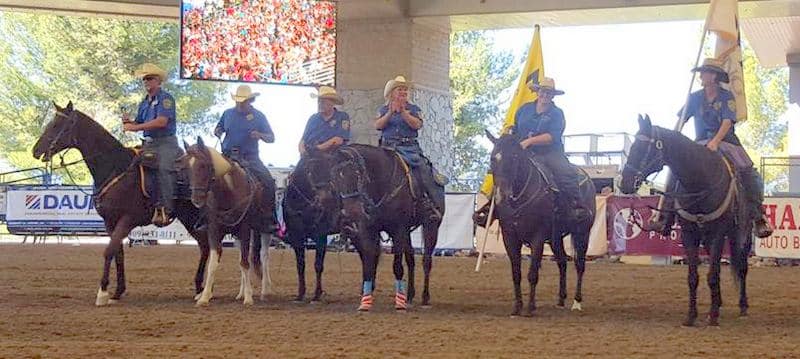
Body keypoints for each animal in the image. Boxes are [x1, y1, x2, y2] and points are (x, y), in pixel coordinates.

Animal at [32, 102, 211, 308]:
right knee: (204, 245)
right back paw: (199, 289)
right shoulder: (110, 222)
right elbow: (118, 253)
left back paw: (203, 290)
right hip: (189, 218)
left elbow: (109, 251)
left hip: (193, 216)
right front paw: (117, 292)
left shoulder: (127, 219)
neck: (115, 167)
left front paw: (102, 293)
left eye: (56, 125)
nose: (35, 150)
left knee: (207, 245)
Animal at [177, 138, 276, 306]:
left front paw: (249, 298)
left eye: (203, 165)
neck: (229, 191)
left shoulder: (244, 228)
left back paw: (264, 291)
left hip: (264, 230)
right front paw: (204, 297)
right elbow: (214, 262)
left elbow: (245, 263)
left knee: (264, 256)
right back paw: (240, 294)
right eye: (186, 168)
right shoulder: (214, 230)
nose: (196, 199)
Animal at [306, 144, 444, 312]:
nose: (352, 211)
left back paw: (424, 298)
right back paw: (410, 295)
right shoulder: (368, 230)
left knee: (426, 261)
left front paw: (399, 303)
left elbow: (397, 266)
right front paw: (365, 302)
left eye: (357, 174)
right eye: (335, 178)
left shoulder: (398, 229)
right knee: (411, 259)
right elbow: (369, 262)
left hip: (431, 226)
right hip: (407, 233)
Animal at [484, 132, 596, 318]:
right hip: (555, 238)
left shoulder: (537, 238)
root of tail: (587, 179)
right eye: (493, 158)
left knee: (580, 264)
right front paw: (517, 307)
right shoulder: (510, 238)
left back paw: (576, 302)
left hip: (582, 232)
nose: (501, 196)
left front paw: (530, 308)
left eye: (515, 156)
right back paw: (560, 300)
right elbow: (516, 273)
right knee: (562, 262)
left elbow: (532, 273)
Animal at [620, 115, 752, 330]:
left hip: (741, 235)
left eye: (643, 147)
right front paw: (692, 316)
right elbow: (694, 277)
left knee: (741, 266)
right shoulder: (690, 233)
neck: (700, 180)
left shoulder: (718, 233)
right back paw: (718, 302)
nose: (624, 183)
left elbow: (713, 274)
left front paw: (713, 317)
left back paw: (742, 307)